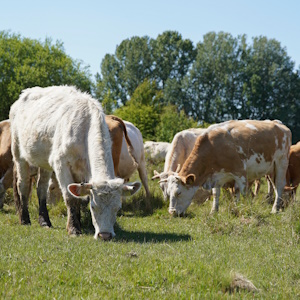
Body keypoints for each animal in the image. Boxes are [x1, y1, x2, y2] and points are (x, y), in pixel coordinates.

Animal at [9, 85, 141, 240]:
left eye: (117, 208)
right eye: (93, 206)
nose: (105, 235)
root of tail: (26, 92)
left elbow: (79, 196)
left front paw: (78, 223)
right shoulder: (61, 164)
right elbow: (71, 197)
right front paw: (73, 228)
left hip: (45, 161)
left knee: (41, 187)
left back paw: (44, 221)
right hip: (18, 153)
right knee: (22, 185)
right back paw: (25, 219)